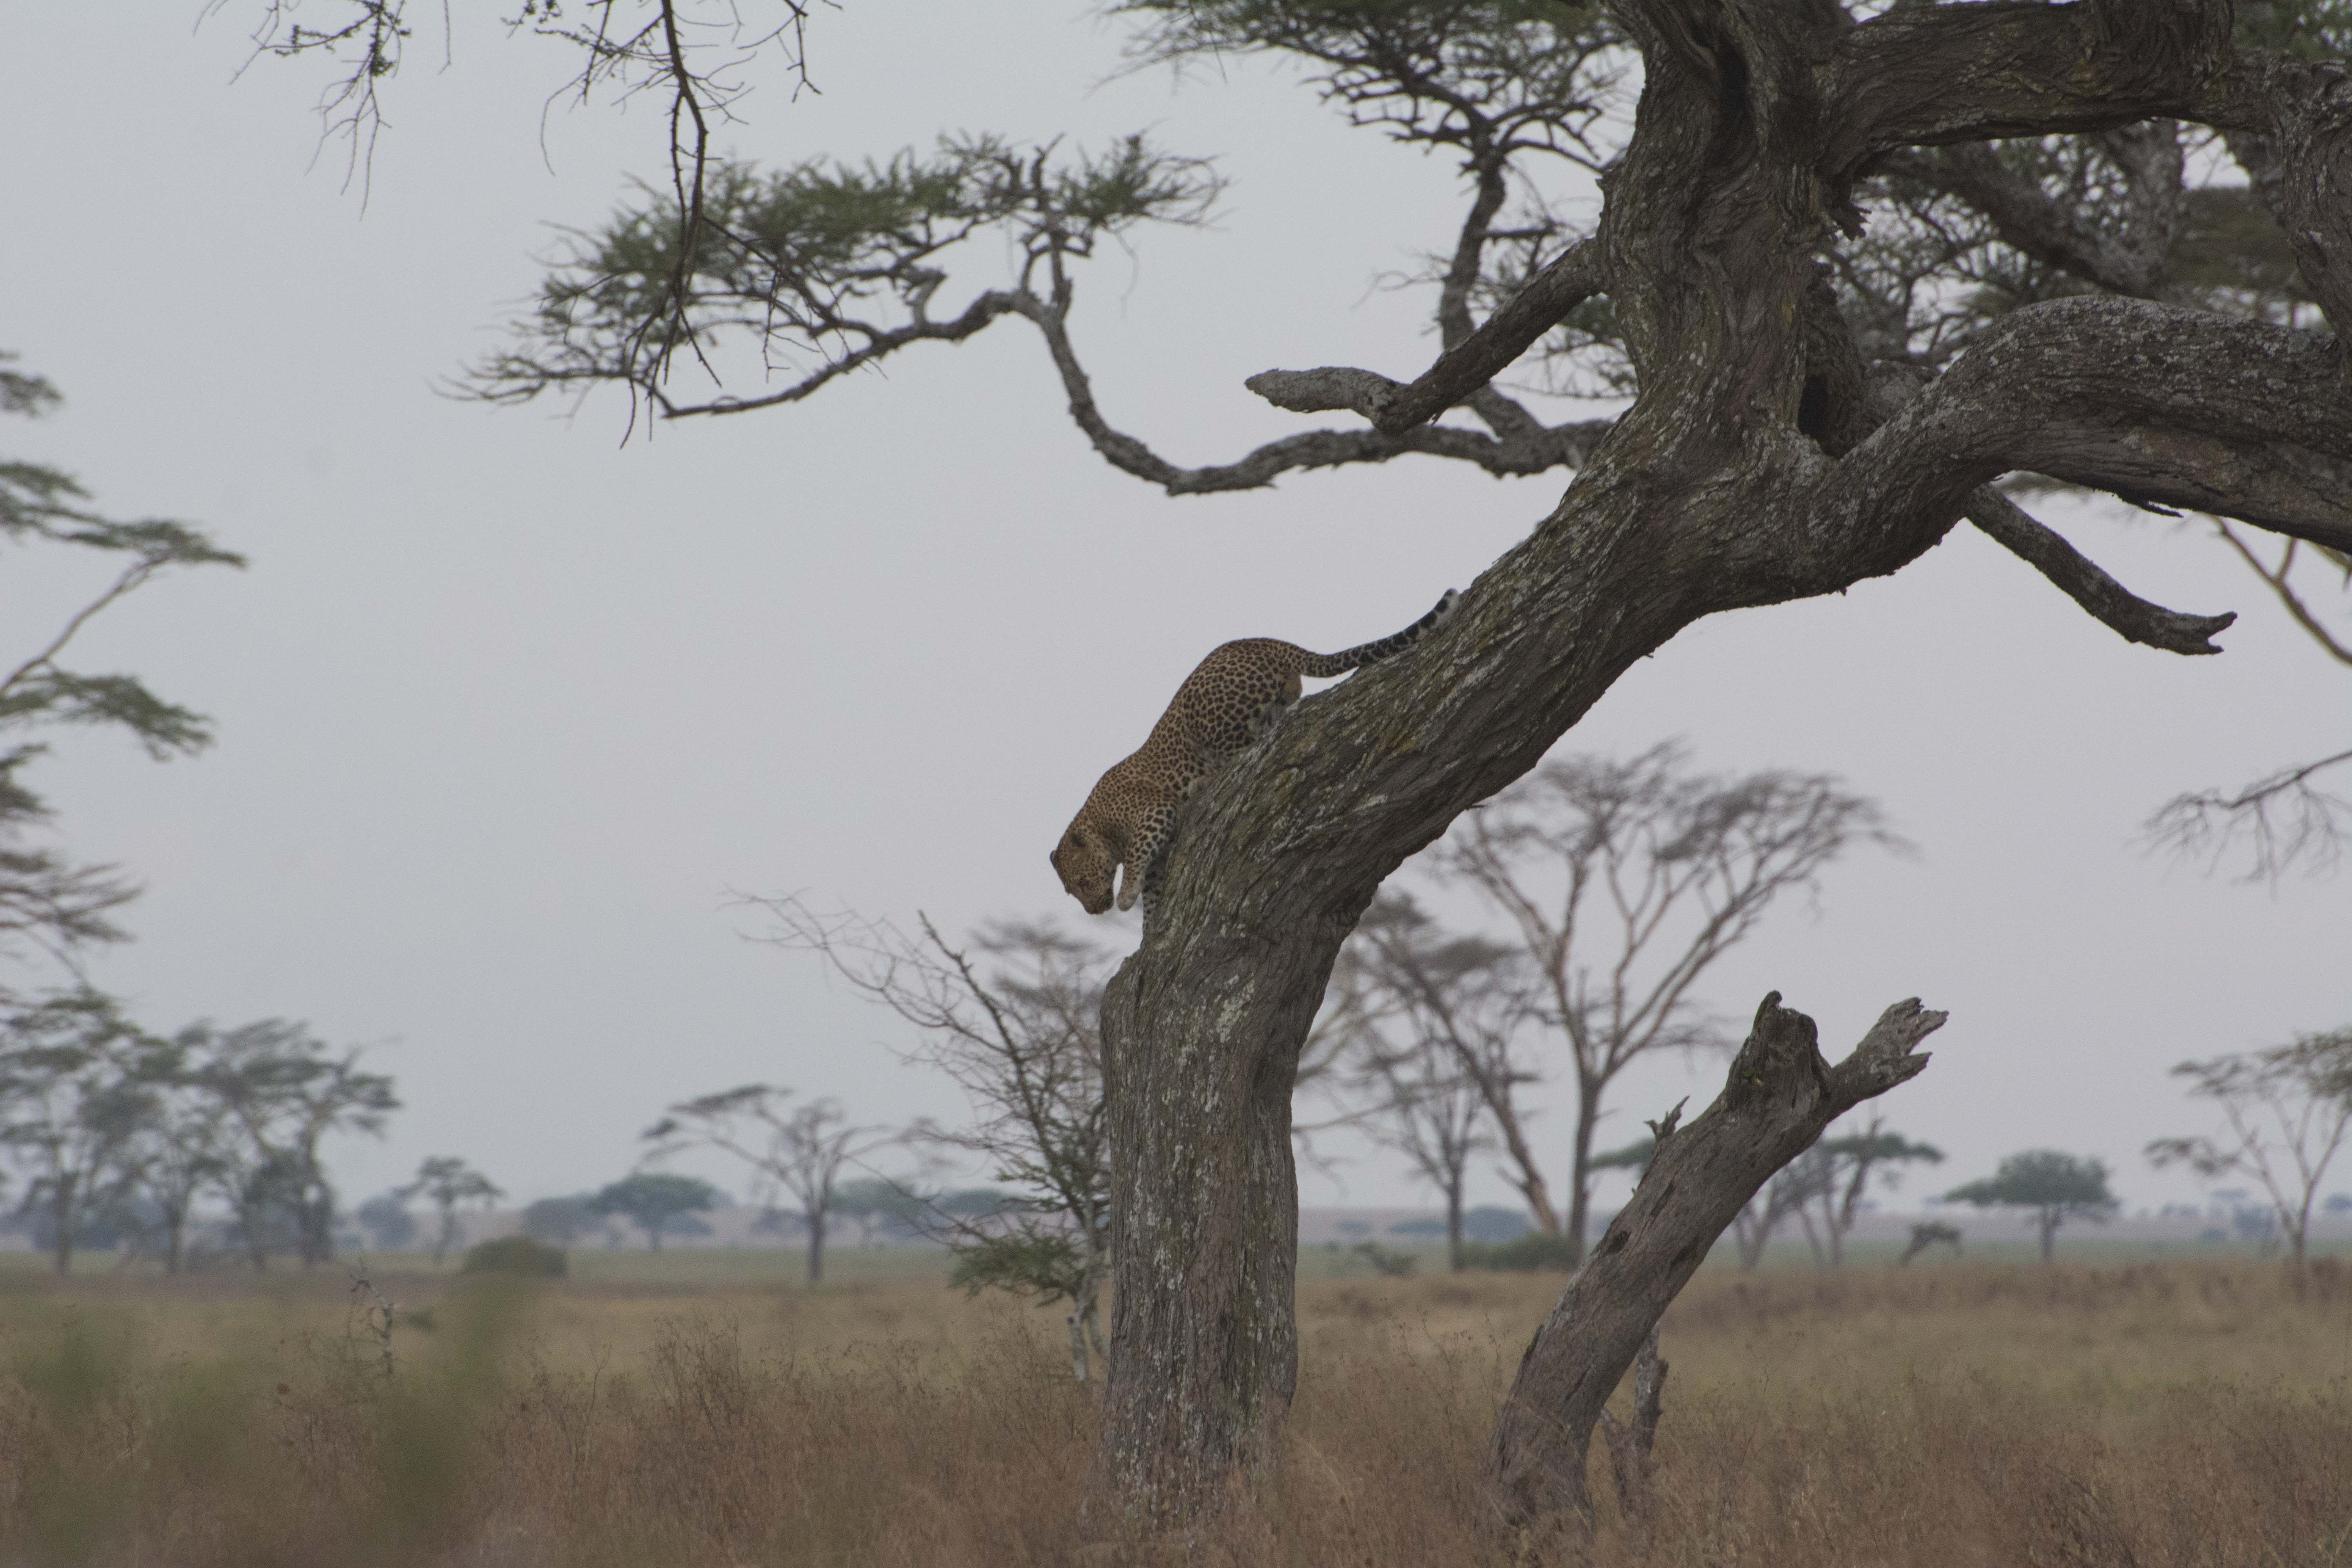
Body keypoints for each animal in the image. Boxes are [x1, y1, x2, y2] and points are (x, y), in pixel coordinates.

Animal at [1050, 589, 1460, 916]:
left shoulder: (1153, 812)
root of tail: (1262, 641)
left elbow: (1138, 856)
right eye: (1074, 891)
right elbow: (1152, 887)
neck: (1096, 821)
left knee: (1251, 746)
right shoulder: (1158, 850)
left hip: (1211, 718)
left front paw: (1125, 896)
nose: (1094, 910)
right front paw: (1148, 925)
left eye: (1081, 882)